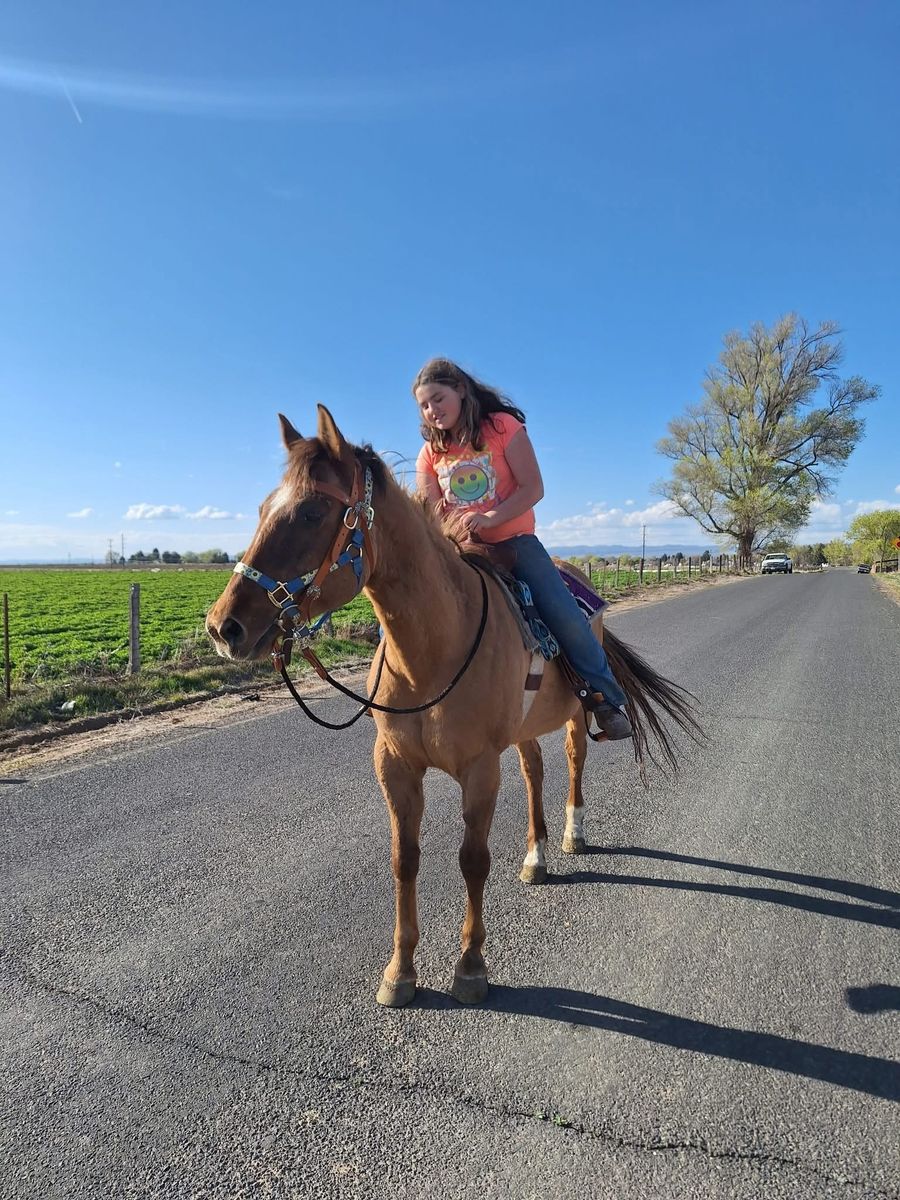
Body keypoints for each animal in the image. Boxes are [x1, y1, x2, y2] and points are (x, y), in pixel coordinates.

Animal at [206, 406, 700, 1008]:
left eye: (311, 511)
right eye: (261, 509)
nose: (223, 626)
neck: (433, 652)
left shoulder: (479, 767)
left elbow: (472, 859)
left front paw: (470, 967)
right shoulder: (395, 766)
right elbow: (404, 860)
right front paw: (399, 973)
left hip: (576, 717)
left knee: (573, 762)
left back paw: (571, 835)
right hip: (523, 730)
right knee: (534, 771)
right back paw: (535, 858)